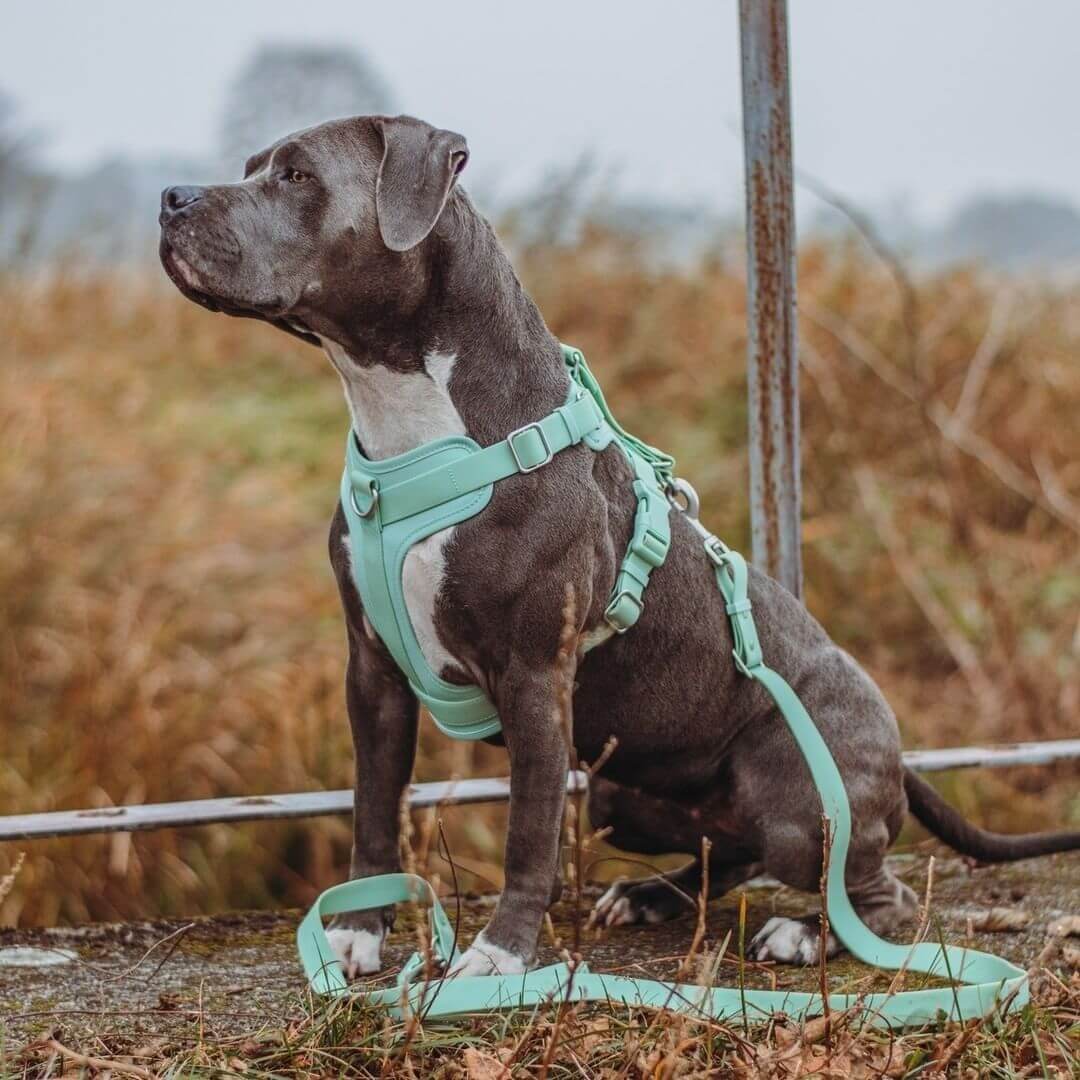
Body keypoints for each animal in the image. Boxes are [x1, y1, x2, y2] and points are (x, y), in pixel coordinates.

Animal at [159, 113, 1080, 976]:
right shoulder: (373, 670)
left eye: (296, 175)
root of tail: (894, 753)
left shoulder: (535, 675)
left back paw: (803, 933)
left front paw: (499, 958)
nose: (171, 197)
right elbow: (373, 809)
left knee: (870, 893)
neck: (414, 425)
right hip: (618, 792)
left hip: (796, 797)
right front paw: (355, 934)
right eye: (251, 167)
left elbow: (527, 831)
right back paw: (651, 896)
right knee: (726, 854)